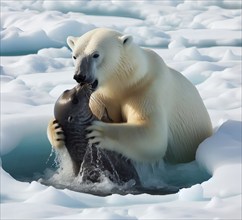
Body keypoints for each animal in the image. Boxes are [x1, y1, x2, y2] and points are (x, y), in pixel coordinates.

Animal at [47, 27, 214, 163]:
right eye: (75, 56)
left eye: (95, 55)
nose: (79, 76)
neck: (125, 83)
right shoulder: (101, 97)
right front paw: (55, 130)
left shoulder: (147, 90)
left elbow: (153, 135)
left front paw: (99, 132)